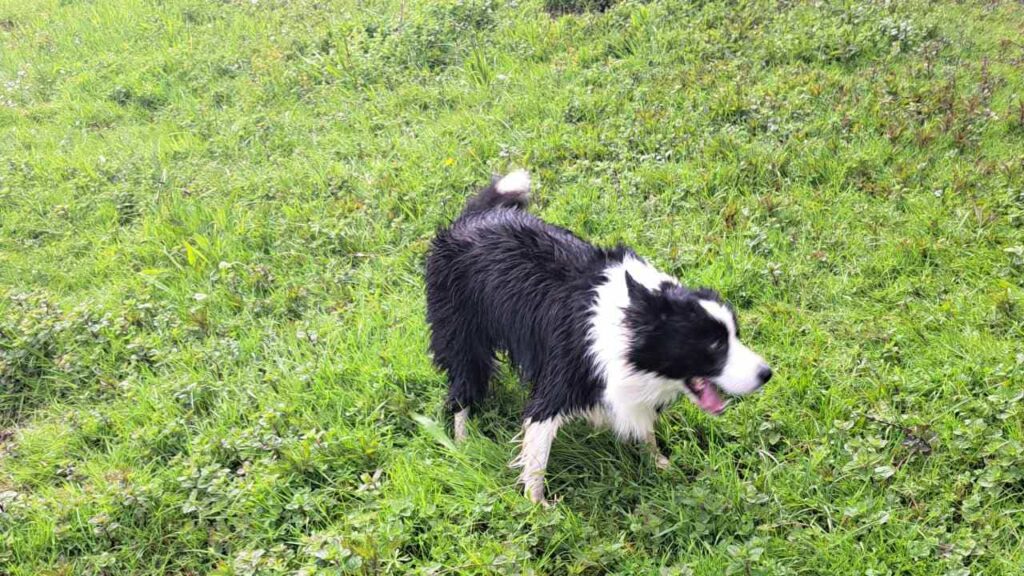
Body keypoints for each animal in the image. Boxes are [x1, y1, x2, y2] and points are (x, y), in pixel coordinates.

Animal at [421, 169, 770, 502]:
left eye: (735, 335)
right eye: (714, 344)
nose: (767, 373)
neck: (635, 319)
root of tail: (473, 218)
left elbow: (644, 428)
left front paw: (660, 463)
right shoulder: (559, 382)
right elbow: (537, 449)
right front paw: (537, 505)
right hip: (463, 336)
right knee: (462, 387)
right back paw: (463, 439)